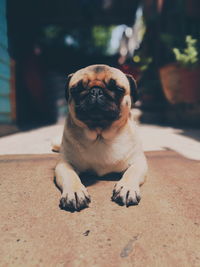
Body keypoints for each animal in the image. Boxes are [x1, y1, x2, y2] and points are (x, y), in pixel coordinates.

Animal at [54, 64, 148, 211]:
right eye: (77, 89)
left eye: (117, 89)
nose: (96, 91)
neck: (100, 135)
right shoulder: (64, 164)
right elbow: (70, 175)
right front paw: (74, 191)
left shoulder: (138, 162)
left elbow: (131, 172)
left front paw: (126, 187)